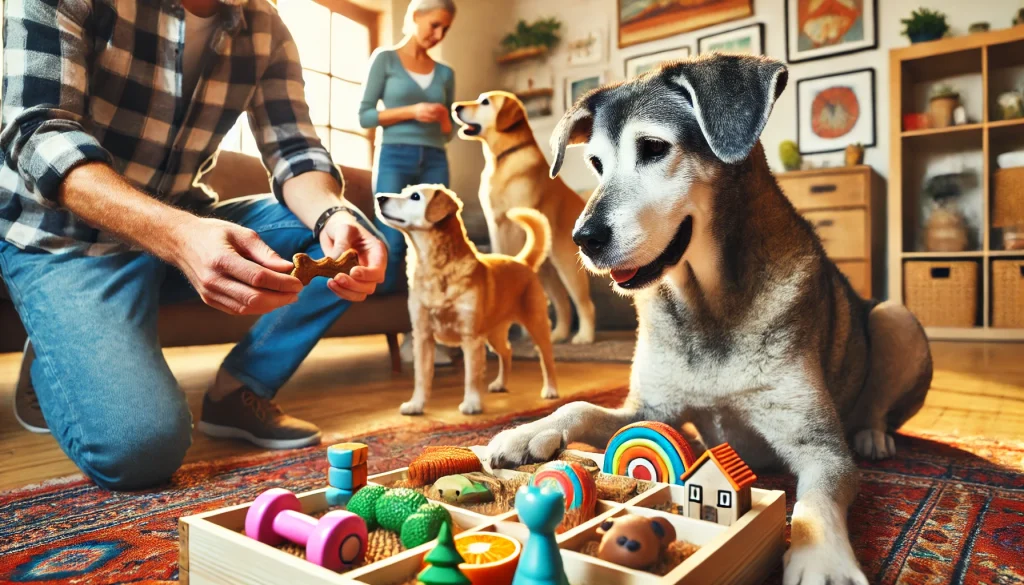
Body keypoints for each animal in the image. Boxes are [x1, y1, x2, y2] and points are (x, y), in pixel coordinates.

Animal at [374, 184, 557, 415]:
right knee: (507, 351)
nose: (379, 197)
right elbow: (421, 377)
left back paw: (551, 389)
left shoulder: (470, 337)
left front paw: (471, 403)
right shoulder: (423, 335)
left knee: (547, 358)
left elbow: (471, 375)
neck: (435, 268)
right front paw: (416, 404)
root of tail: (522, 262)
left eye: (415, 196)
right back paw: (500, 383)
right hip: (494, 334)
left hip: (536, 325)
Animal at [452, 92, 598, 344]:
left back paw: (584, 337)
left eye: (485, 102)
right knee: (562, 303)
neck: (501, 160)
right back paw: (557, 334)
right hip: (548, 272)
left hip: (566, 265)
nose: (455, 107)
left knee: (583, 303)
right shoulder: (495, 224)